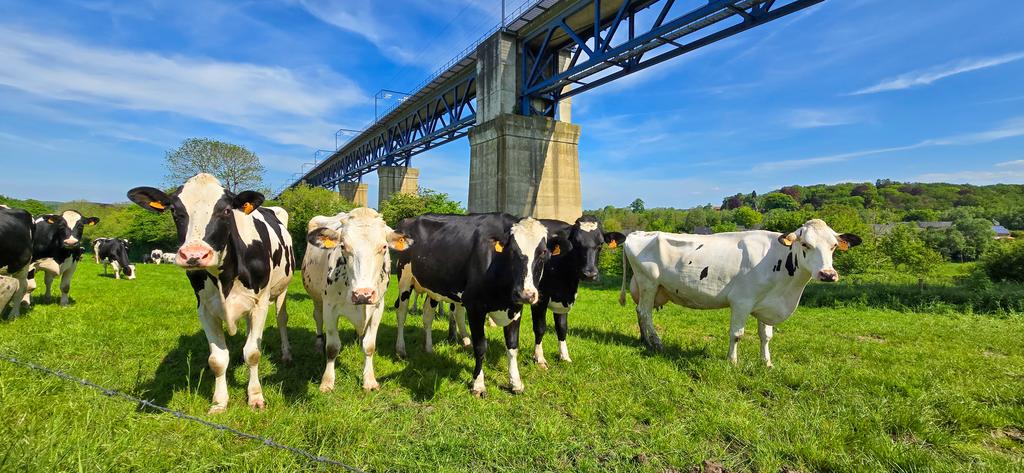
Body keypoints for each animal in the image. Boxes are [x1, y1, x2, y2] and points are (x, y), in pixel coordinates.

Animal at [128, 174, 294, 413]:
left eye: (225, 210)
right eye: (175, 211)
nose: (194, 255)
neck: (225, 278)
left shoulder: (259, 303)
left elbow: (253, 353)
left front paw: (255, 396)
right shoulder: (205, 308)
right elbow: (217, 359)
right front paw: (219, 401)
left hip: (281, 291)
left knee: (281, 319)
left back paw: (286, 353)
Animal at [303, 209, 411, 391]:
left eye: (383, 247)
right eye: (343, 246)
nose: (363, 294)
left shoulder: (378, 306)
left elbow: (369, 346)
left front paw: (369, 380)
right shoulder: (330, 307)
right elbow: (332, 347)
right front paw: (327, 381)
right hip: (316, 298)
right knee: (317, 318)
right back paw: (318, 345)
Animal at [391, 213, 569, 395]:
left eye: (543, 253)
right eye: (512, 251)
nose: (526, 294)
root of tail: (409, 219)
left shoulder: (515, 309)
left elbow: (512, 346)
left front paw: (516, 383)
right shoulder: (475, 307)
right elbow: (480, 346)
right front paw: (478, 384)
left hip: (433, 287)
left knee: (427, 315)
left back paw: (428, 348)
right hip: (404, 278)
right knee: (401, 313)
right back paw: (401, 349)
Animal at [532, 217, 626, 368]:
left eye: (600, 244)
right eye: (575, 243)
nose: (590, 274)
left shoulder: (563, 299)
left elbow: (562, 327)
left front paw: (564, 356)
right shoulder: (540, 298)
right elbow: (540, 327)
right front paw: (539, 359)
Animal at [618, 220, 860, 368]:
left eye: (834, 246)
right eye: (806, 245)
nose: (827, 274)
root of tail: (639, 233)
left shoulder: (767, 304)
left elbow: (766, 336)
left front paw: (767, 363)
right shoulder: (742, 301)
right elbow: (737, 334)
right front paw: (732, 361)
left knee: (640, 312)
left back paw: (645, 341)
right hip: (649, 282)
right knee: (646, 313)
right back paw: (657, 344)